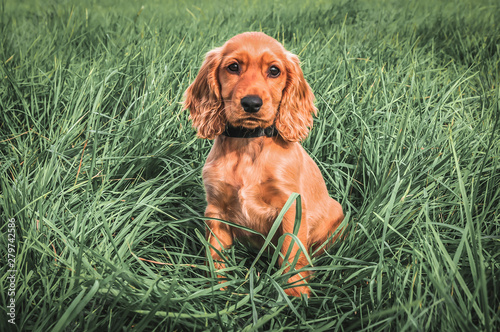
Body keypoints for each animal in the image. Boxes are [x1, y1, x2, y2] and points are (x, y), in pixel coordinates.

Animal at [184, 31, 344, 296]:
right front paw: (218, 290)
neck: (249, 144)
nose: (251, 103)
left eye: (274, 71)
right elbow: (216, 255)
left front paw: (295, 293)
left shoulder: (291, 207)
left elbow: (293, 253)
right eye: (233, 67)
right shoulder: (216, 211)